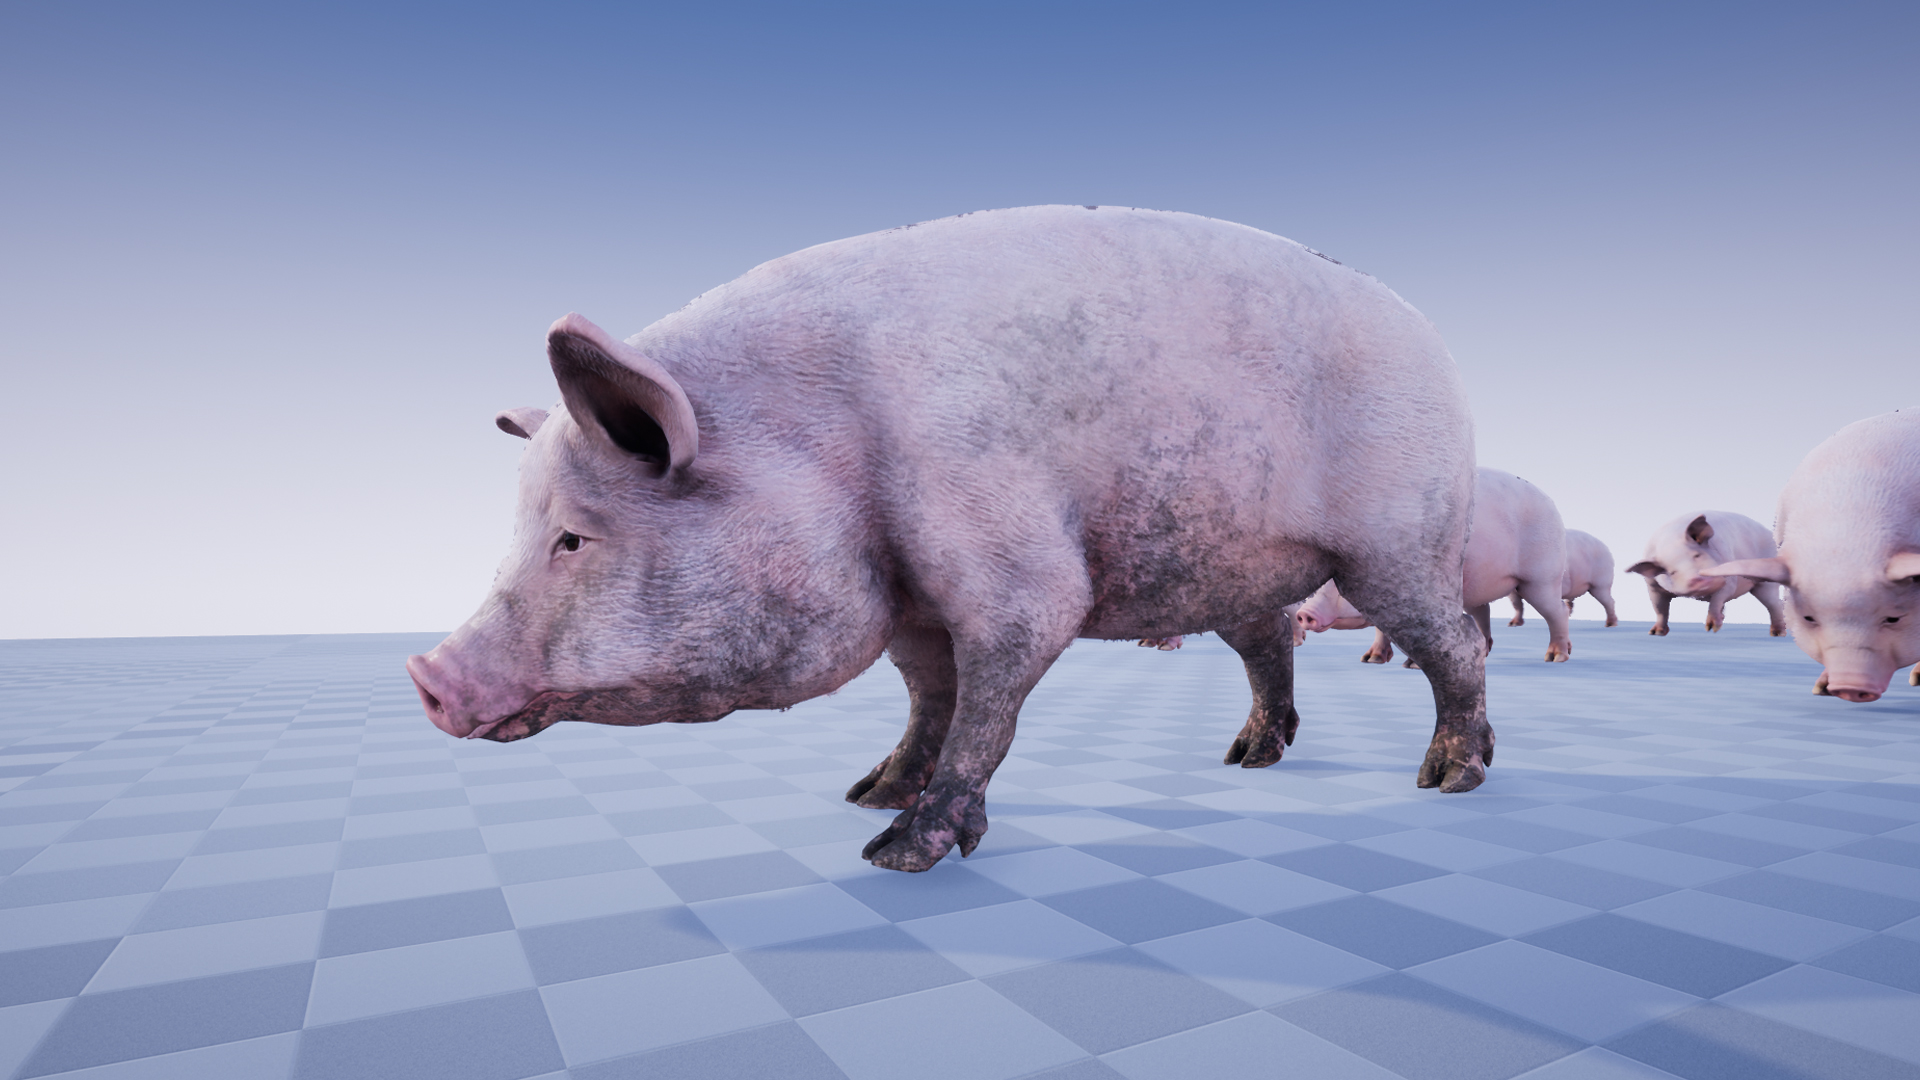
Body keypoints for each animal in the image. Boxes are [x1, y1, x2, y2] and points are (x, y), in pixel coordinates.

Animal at [406, 205, 1492, 874]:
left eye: (574, 540)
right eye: (521, 531)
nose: (427, 675)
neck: (825, 445)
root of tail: (1431, 338)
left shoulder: (1011, 561)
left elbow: (987, 702)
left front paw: (896, 854)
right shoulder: (909, 608)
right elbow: (929, 698)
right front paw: (865, 794)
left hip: (1398, 540)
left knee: (1455, 642)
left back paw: (1451, 777)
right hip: (1231, 563)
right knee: (1267, 641)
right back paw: (1246, 760)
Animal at [1626, 512, 1786, 636]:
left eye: (1697, 555)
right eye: (1671, 572)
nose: (1697, 578)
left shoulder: (1729, 574)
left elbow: (1719, 597)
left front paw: (1711, 628)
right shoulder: (1652, 586)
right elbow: (1659, 608)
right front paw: (1655, 633)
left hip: (1766, 579)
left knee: (1774, 603)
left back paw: (1777, 634)